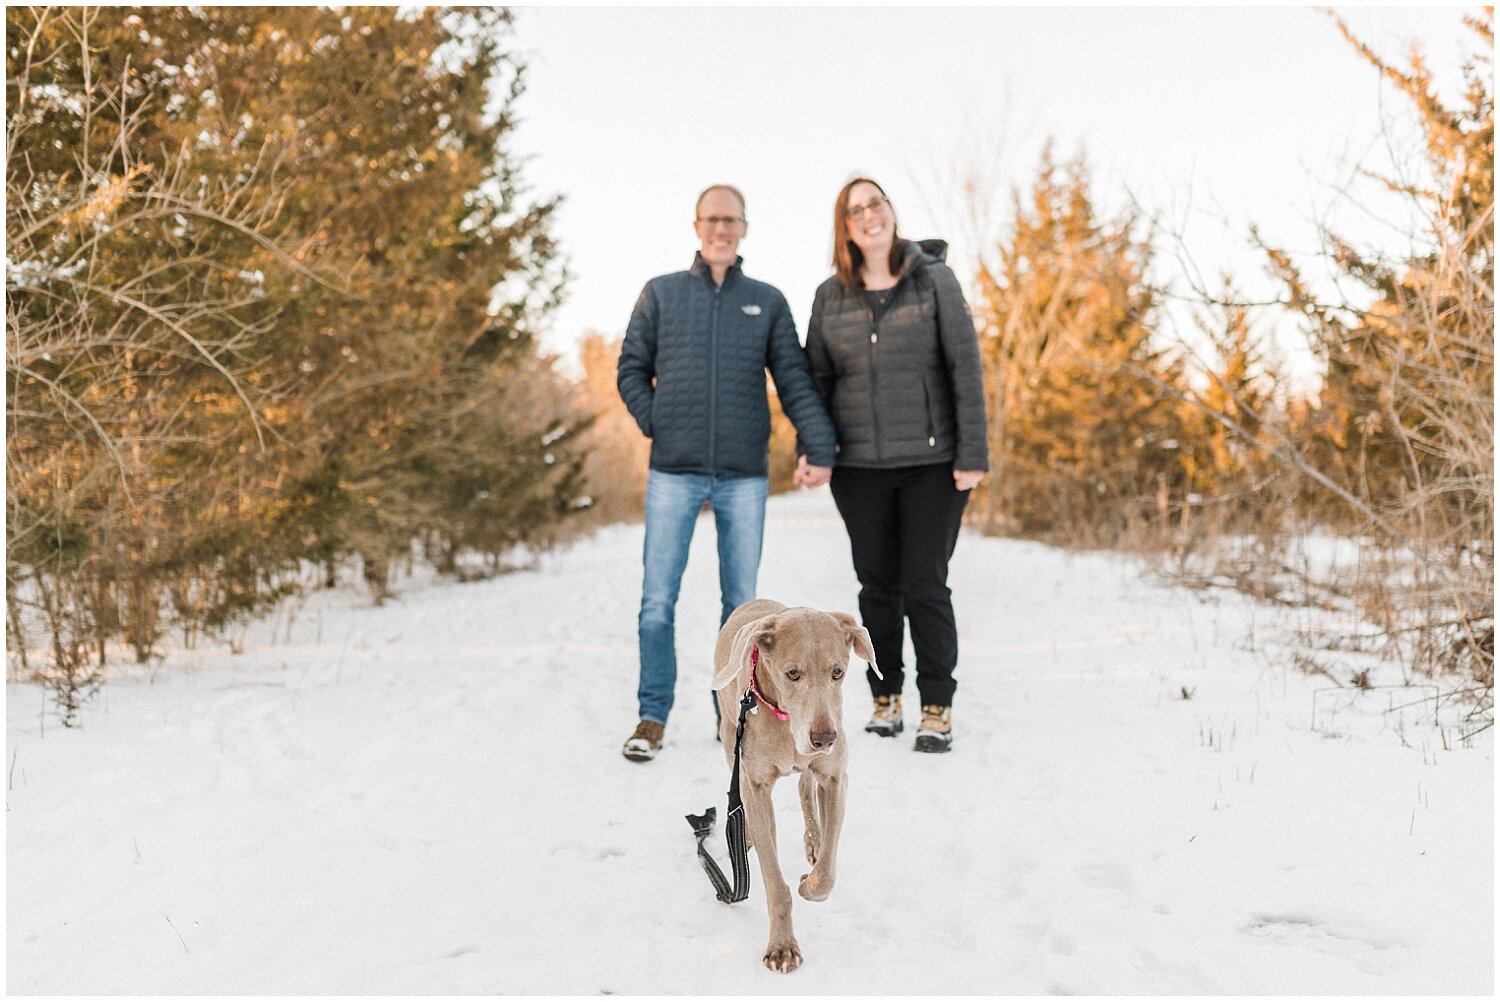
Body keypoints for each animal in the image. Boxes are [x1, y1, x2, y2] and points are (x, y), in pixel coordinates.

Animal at [705, 600, 876, 972]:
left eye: (837, 672)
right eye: (792, 674)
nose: (824, 738)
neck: (784, 722)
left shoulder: (836, 777)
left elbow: (827, 870)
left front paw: (809, 882)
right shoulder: (755, 785)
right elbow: (774, 881)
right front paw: (782, 947)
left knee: (805, 786)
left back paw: (814, 840)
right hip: (729, 737)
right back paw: (746, 836)